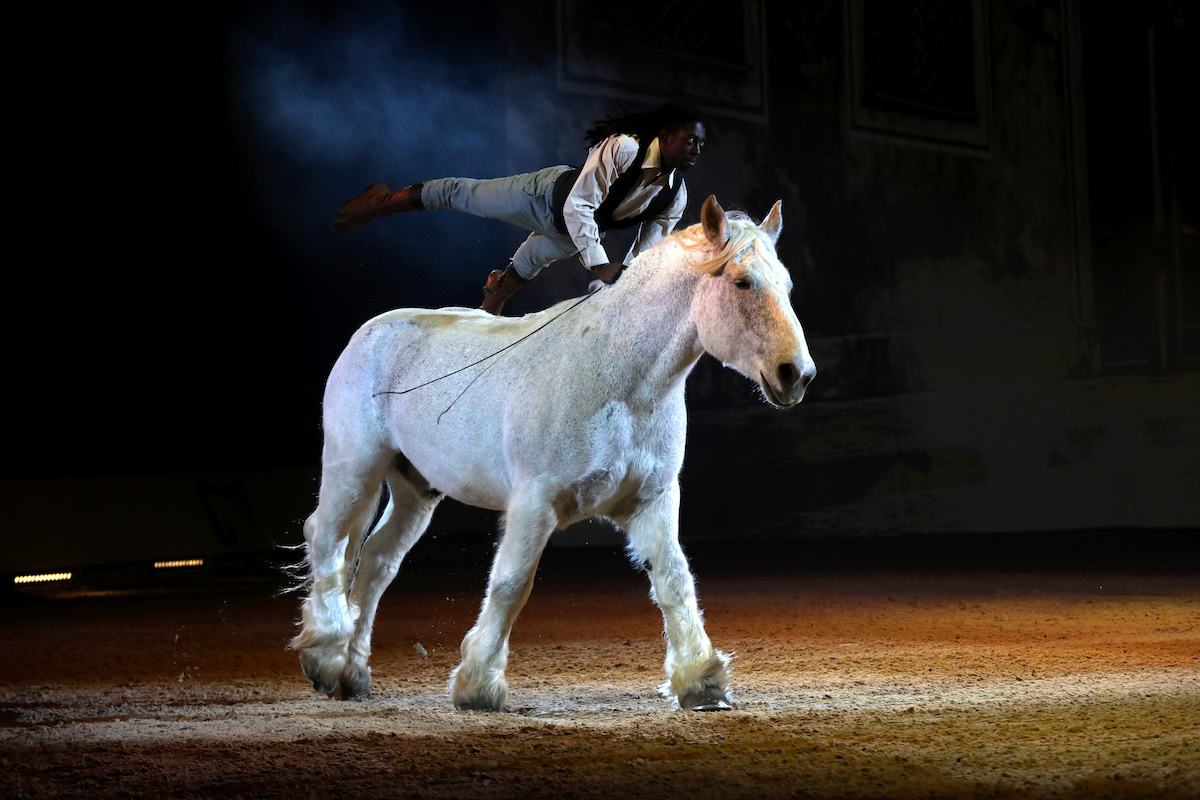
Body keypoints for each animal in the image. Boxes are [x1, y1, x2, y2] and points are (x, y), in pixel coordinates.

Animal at [290, 195, 815, 711]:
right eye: (742, 282)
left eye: (788, 286)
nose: (797, 374)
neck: (617, 378)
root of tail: (369, 332)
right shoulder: (534, 502)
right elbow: (511, 583)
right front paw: (477, 684)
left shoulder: (652, 499)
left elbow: (673, 578)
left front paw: (701, 681)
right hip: (355, 466)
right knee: (327, 537)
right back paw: (325, 658)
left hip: (415, 489)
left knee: (378, 560)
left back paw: (353, 673)